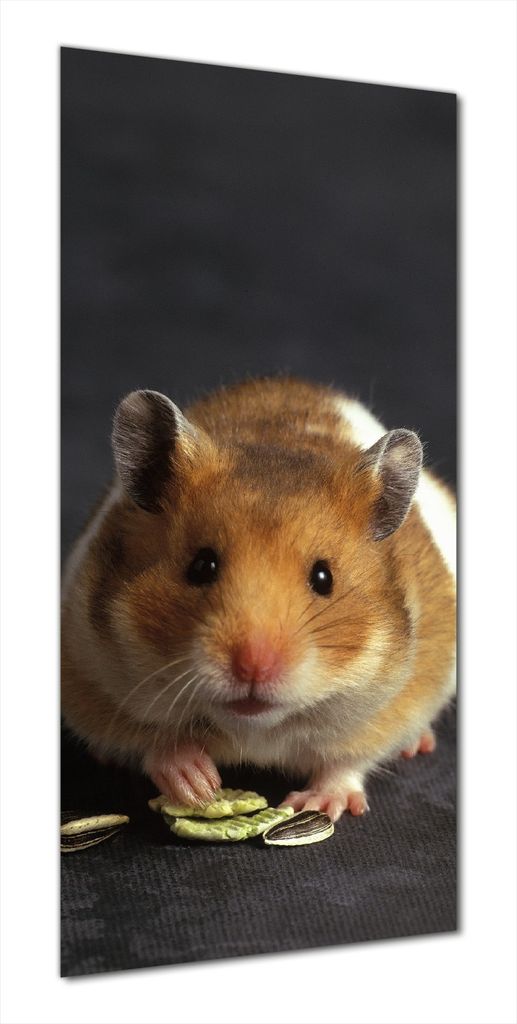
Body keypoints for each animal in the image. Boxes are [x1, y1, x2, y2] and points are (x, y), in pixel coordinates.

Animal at [61, 377, 456, 821]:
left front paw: (314, 804)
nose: (253, 667)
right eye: (201, 565)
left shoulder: (395, 704)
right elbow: (152, 741)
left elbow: (346, 762)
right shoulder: (87, 673)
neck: (254, 726)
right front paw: (198, 785)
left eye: (324, 578)